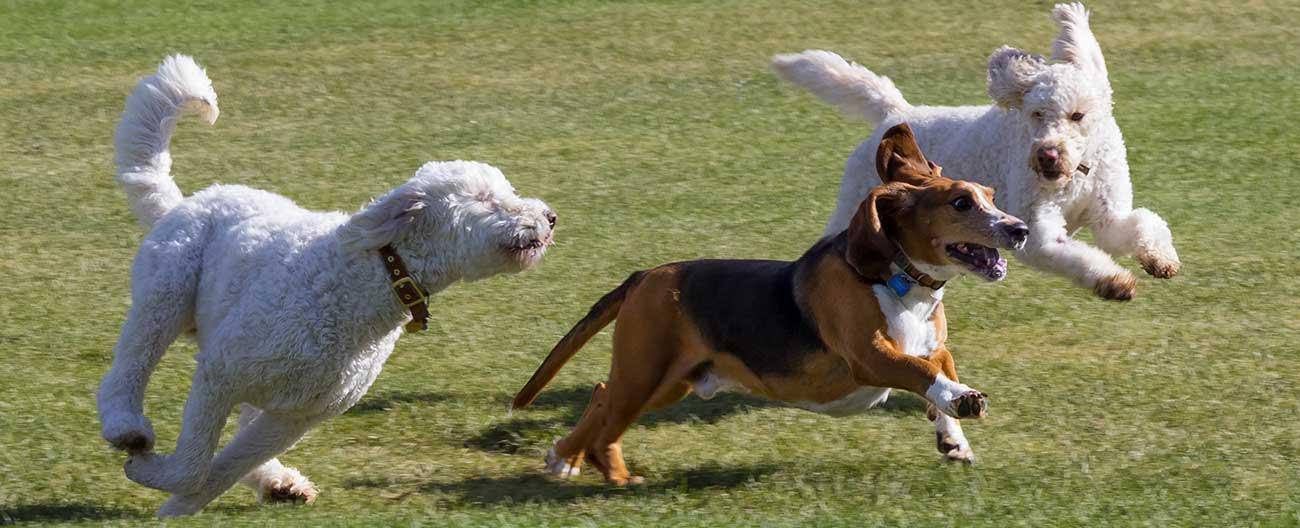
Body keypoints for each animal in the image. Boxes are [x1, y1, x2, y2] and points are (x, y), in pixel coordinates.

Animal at [94, 55, 553, 517]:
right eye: (485, 198)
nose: (549, 217)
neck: (365, 285)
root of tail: (185, 202)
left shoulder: (297, 416)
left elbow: (219, 470)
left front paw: (174, 509)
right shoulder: (219, 373)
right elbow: (194, 465)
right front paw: (148, 473)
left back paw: (279, 483)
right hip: (165, 294)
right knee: (128, 368)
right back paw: (127, 428)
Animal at [769, 2, 1180, 299]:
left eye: (1077, 115)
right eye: (1036, 113)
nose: (1046, 156)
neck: (1075, 175)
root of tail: (895, 114)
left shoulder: (1108, 213)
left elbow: (1142, 224)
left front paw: (1160, 260)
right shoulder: (1037, 232)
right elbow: (1072, 254)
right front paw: (1114, 281)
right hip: (857, 204)